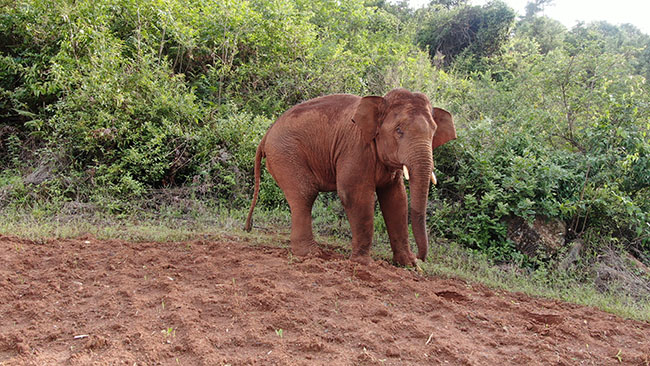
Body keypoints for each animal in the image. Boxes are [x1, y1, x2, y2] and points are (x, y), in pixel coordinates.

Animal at [243, 88, 456, 266]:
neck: (379, 102)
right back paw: (311, 254)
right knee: (305, 193)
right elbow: (355, 195)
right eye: (399, 130)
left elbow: (396, 199)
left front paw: (409, 265)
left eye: (433, 132)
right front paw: (364, 263)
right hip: (285, 154)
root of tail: (266, 135)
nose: (421, 258)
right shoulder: (355, 148)